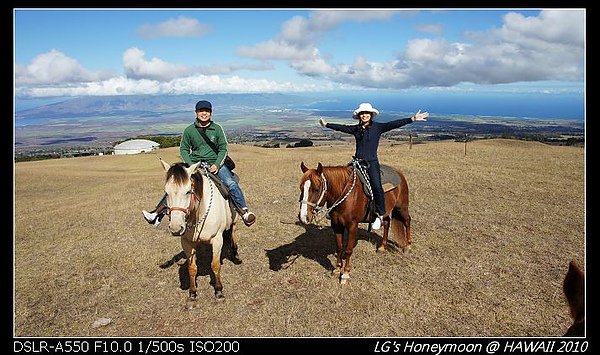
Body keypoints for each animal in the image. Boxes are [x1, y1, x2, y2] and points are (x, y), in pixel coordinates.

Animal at [162, 160, 237, 302]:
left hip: (234, 218)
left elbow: (215, 265)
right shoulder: (186, 242)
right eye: (166, 193)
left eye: (188, 192)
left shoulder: (217, 239)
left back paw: (234, 251)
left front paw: (219, 291)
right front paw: (192, 293)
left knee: (233, 230)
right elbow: (191, 268)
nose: (176, 228)